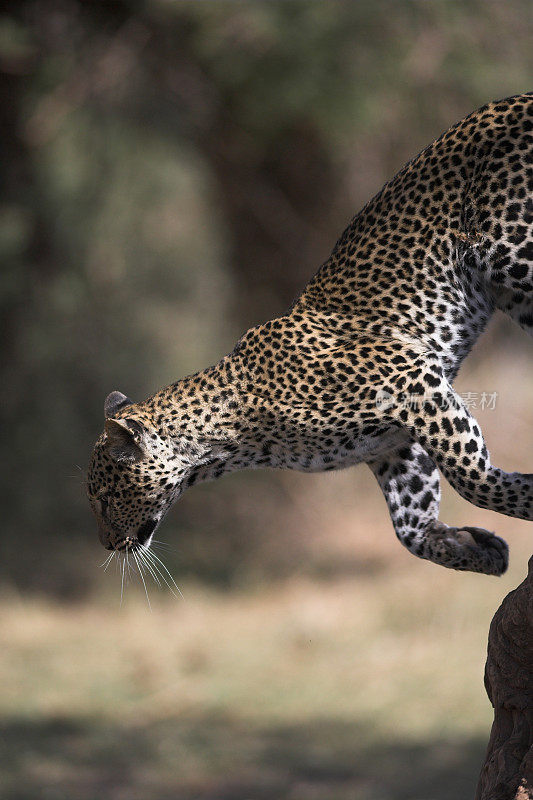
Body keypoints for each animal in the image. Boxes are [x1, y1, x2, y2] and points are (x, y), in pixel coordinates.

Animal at [87, 94, 532, 576]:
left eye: (106, 500)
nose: (107, 544)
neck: (227, 443)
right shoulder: (392, 447)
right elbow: (411, 528)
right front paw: (477, 549)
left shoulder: (410, 379)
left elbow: (472, 477)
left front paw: (524, 498)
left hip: (512, 257)